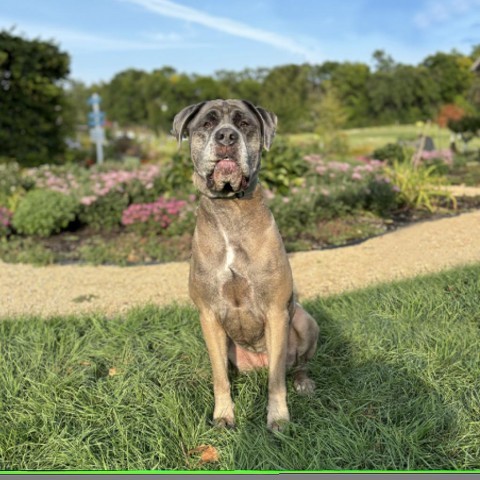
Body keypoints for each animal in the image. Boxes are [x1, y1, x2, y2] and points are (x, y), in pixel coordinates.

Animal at [172, 98, 318, 432]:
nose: (227, 136)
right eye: (207, 123)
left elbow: (276, 381)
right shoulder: (208, 315)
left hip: (306, 322)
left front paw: (278, 418)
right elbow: (219, 377)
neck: (230, 210)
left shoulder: (276, 311)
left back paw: (303, 382)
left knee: (296, 366)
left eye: (245, 124)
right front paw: (223, 414)